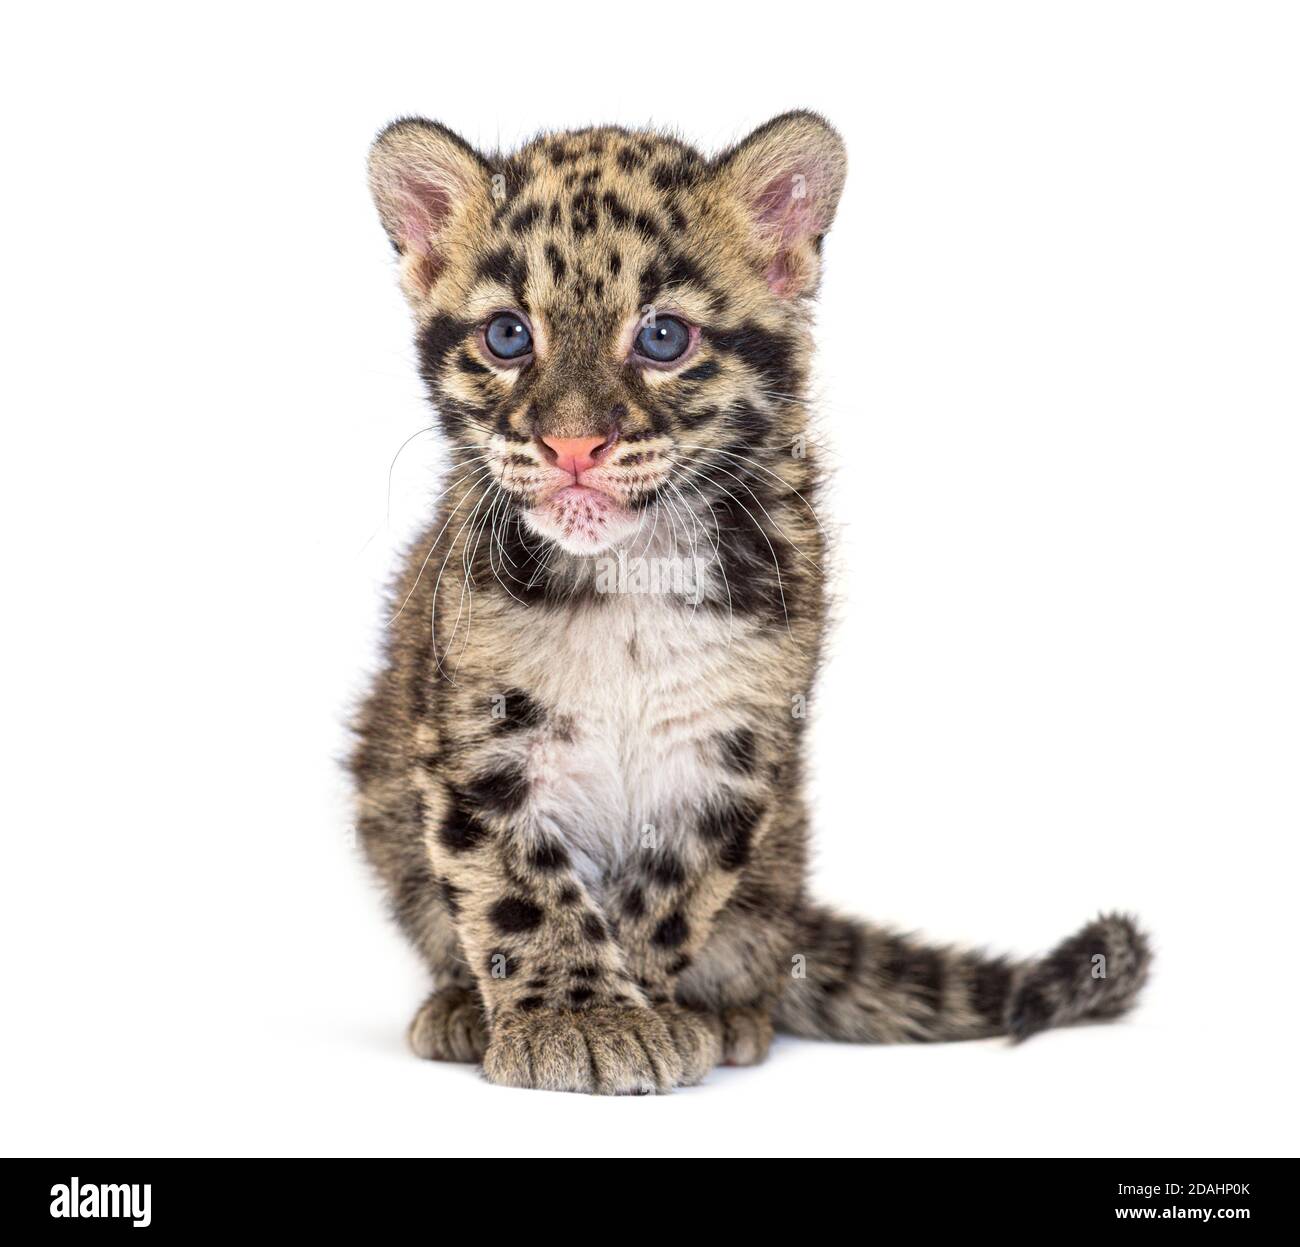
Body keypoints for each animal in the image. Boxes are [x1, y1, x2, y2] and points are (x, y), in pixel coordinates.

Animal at [350, 111, 1152, 1094]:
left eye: (663, 337)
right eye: (507, 335)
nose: (573, 444)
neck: (634, 572)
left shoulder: (734, 742)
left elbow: (666, 896)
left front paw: (639, 1011)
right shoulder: (476, 732)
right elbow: (515, 885)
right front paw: (574, 1015)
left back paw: (728, 1012)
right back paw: (462, 1007)